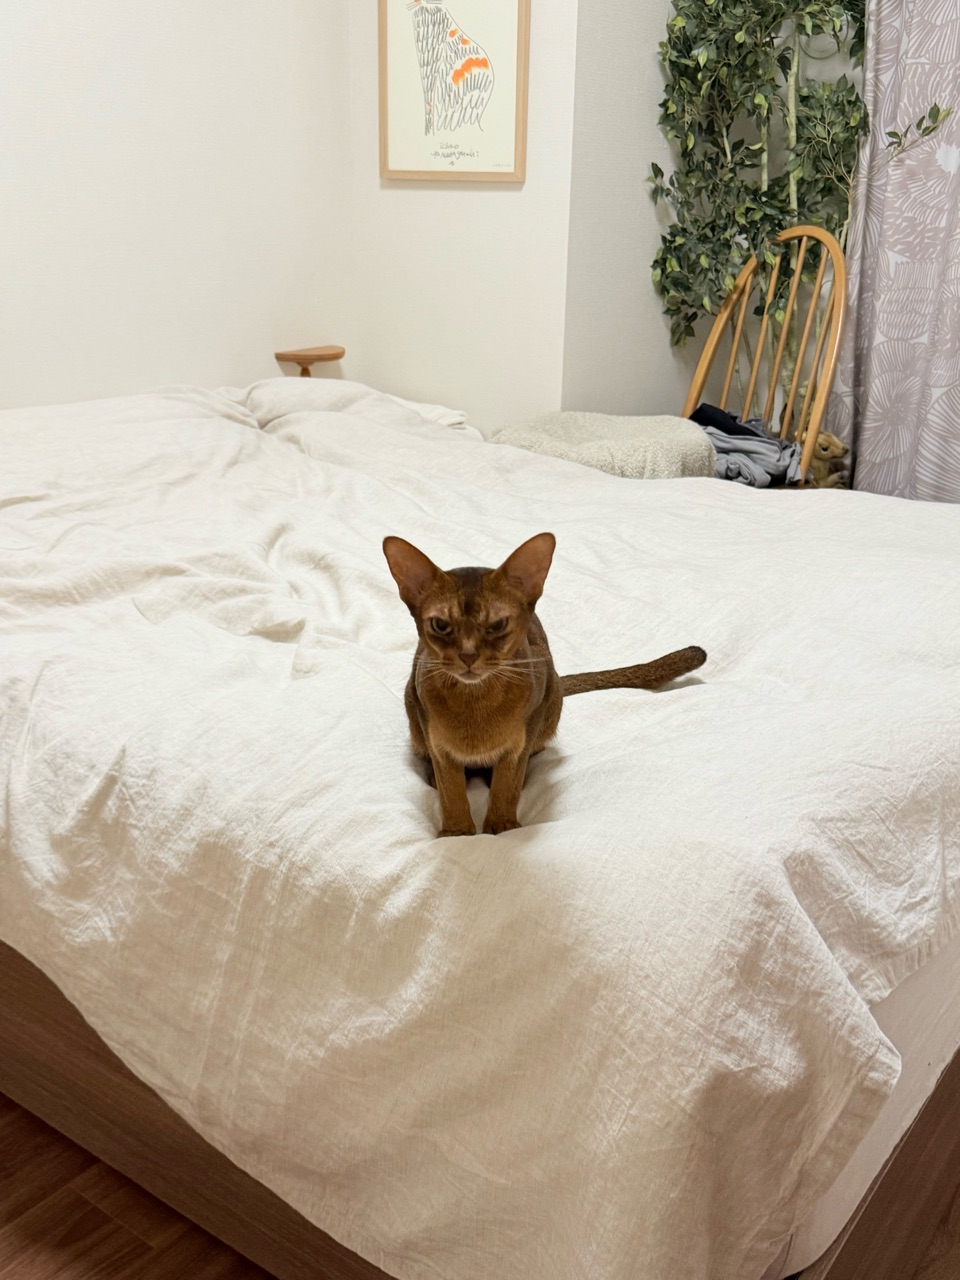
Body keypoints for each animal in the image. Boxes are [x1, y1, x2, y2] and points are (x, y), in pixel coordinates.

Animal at [383, 532, 706, 837]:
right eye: (440, 625)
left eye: (497, 625)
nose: (468, 656)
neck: (475, 703)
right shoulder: (436, 739)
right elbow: (451, 789)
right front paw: (457, 831)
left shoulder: (523, 735)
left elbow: (507, 784)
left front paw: (502, 826)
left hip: (552, 699)